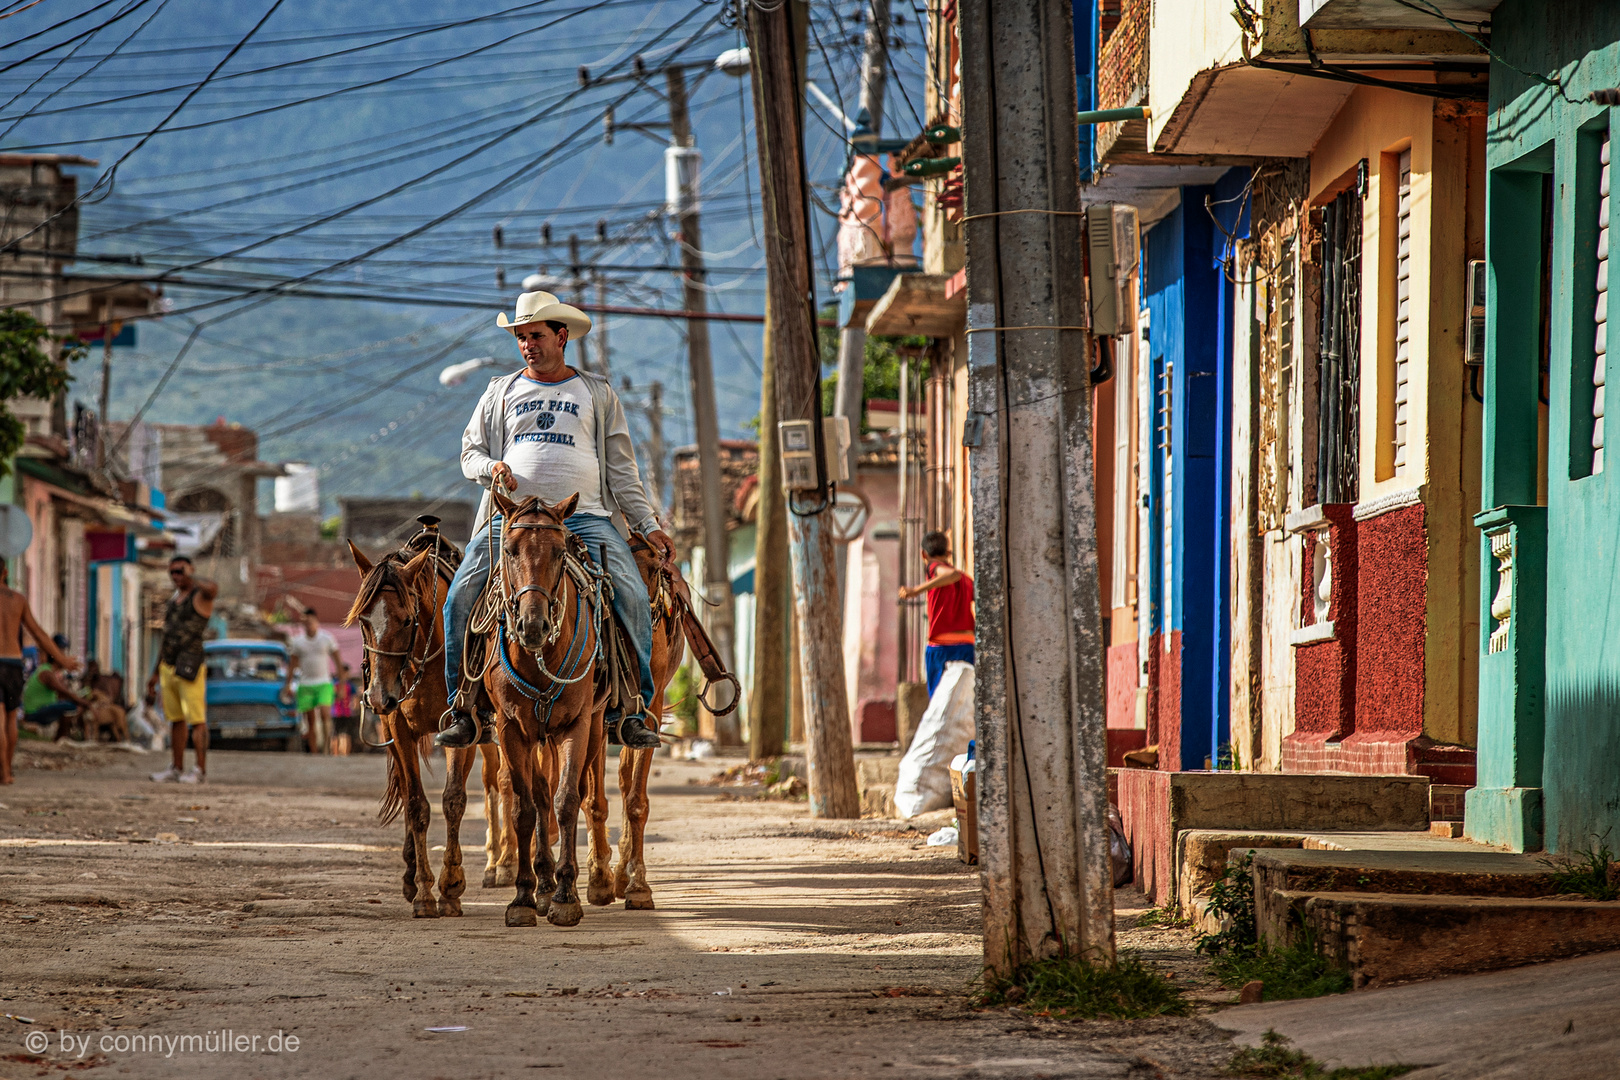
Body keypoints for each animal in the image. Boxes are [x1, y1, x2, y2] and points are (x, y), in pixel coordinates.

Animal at [349, 527, 502, 919]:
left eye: (406, 619)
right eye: (363, 621)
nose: (378, 696)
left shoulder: (463, 728)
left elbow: (454, 800)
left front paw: (450, 887)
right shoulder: (397, 729)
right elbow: (416, 804)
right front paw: (422, 891)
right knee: (407, 792)